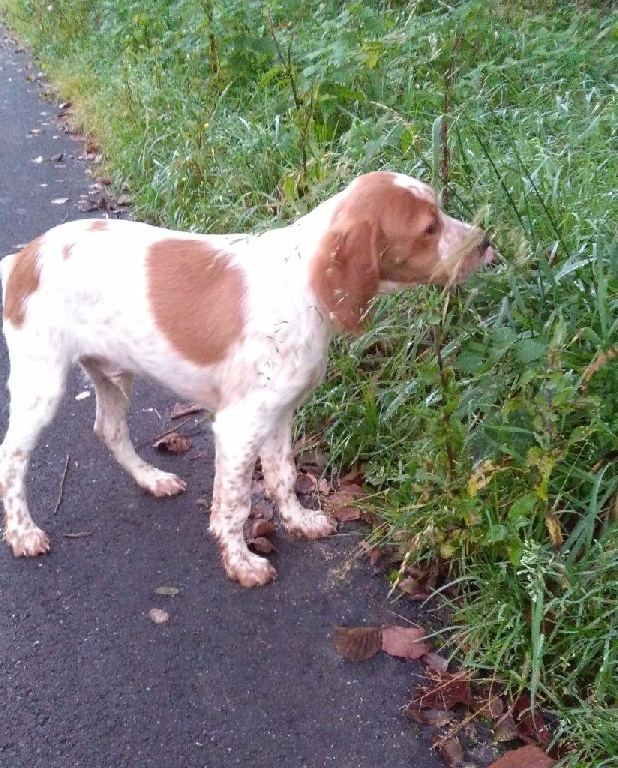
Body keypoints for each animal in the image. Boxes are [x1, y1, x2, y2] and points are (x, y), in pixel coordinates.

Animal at [0, 171, 490, 584]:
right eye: (429, 228)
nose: (486, 242)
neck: (305, 285)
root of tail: (24, 257)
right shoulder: (239, 426)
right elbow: (234, 504)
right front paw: (241, 563)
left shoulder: (278, 413)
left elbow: (282, 477)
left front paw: (299, 521)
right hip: (41, 383)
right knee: (13, 455)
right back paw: (23, 533)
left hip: (113, 374)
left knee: (110, 429)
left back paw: (152, 479)